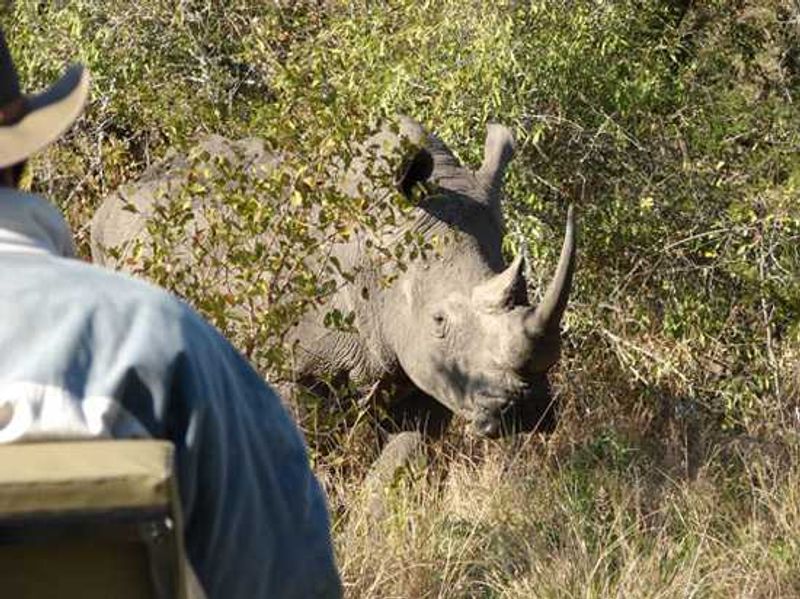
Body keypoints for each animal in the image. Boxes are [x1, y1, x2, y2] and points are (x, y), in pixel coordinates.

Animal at [91, 118, 576, 458]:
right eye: (439, 320)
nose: (526, 412)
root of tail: (110, 201)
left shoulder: (428, 367)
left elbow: (403, 462)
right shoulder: (294, 368)